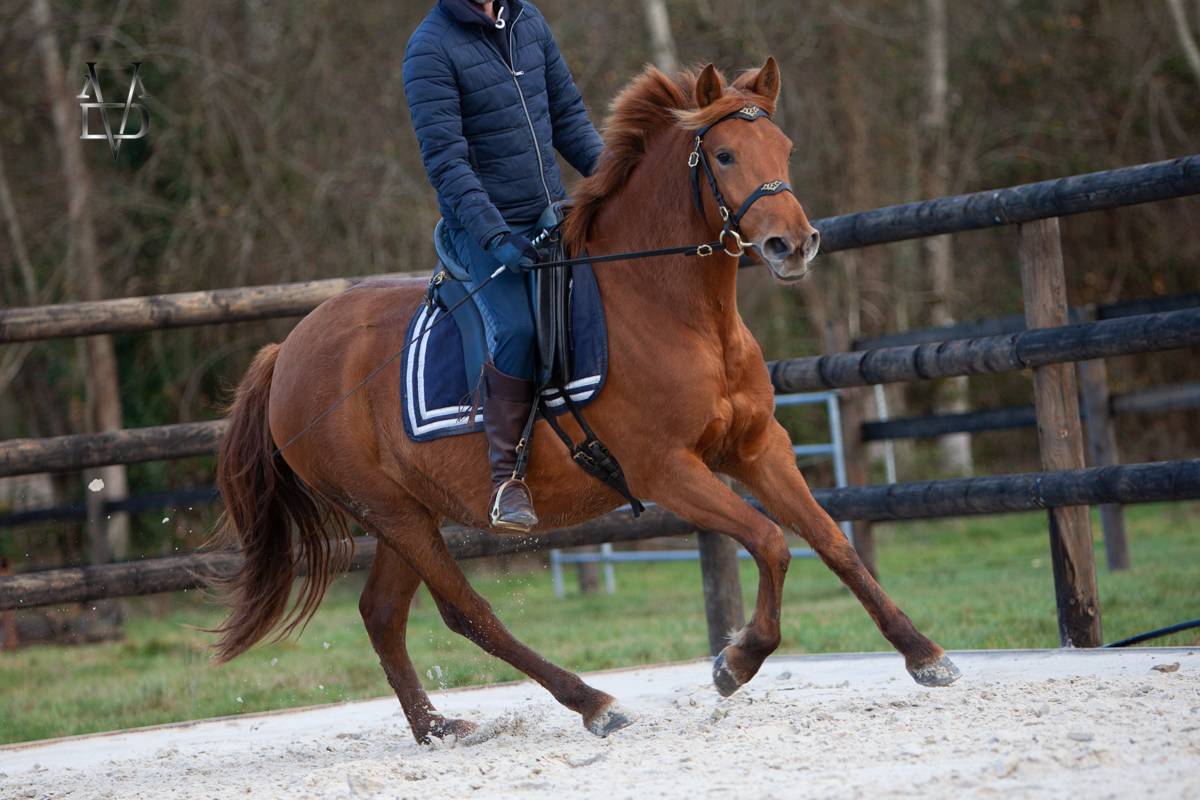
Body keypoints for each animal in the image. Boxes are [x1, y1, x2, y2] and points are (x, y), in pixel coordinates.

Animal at [210, 58, 960, 744]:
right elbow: (772, 542)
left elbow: (833, 542)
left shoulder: (756, 449)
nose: (793, 244)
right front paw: (736, 662)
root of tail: (287, 352)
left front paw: (924, 654)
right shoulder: (668, 471)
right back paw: (593, 703)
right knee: (465, 612)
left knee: (381, 615)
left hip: (408, 511)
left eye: (786, 149)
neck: (675, 310)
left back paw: (438, 729)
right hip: (391, 512)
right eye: (723, 154)